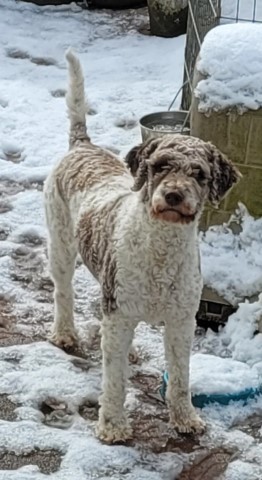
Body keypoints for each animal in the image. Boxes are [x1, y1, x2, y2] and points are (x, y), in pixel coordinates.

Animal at [43, 48, 242, 442]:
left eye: (199, 174)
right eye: (160, 165)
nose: (174, 195)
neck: (161, 248)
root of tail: (82, 144)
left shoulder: (180, 321)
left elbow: (180, 377)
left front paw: (185, 419)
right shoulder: (119, 315)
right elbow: (114, 380)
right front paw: (113, 426)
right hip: (61, 245)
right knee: (63, 292)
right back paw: (66, 334)